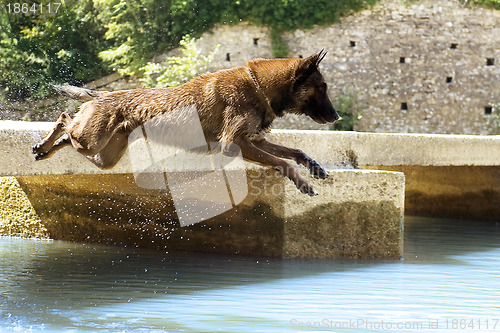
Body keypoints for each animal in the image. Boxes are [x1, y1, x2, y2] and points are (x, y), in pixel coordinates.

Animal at [33, 50, 338, 193]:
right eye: (322, 87)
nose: (337, 117)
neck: (259, 86)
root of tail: (104, 94)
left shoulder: (255, 140)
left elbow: (295, 152)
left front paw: (315, 168)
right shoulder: (234, 144)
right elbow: (282, 162)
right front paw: (303, 183)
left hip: (104, 156)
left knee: (69, 135)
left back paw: (46, 150)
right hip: (91, 141)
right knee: (64, 120)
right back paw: (43, 144)